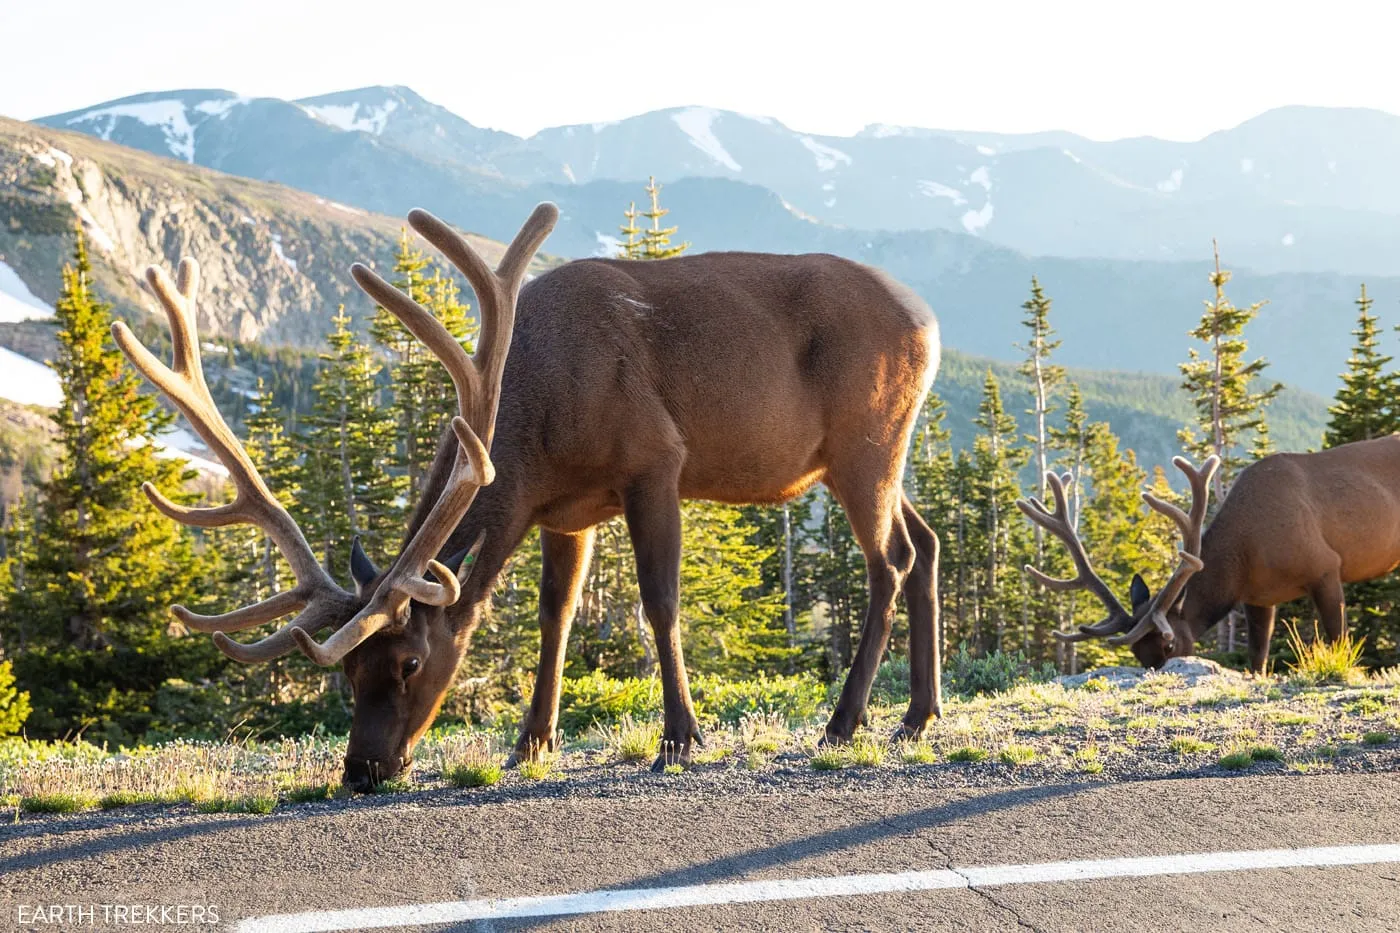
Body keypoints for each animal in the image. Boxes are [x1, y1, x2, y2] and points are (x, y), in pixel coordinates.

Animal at [116, 203, 943, 790]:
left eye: (410, 661)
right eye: (349, 671)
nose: (363, 769)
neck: (533, 425)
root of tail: (931, 320)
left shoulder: (654, 461)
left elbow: (660, 600)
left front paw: (679, 737)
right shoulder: (563, 510)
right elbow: (556, 615)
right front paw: (530, 742)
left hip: (866, 444)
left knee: (890, 561)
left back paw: (845, 721)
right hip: (870, 456)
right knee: (927, 541)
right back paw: (916, 715)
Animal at [1020, 441, 1399, 673]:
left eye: (1169, 644)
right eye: (1136, 653)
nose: (1158, 670)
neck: (1248, 552)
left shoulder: (1325, 567)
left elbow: (1339, 638)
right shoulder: (1258, 597)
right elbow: (1257, 659)